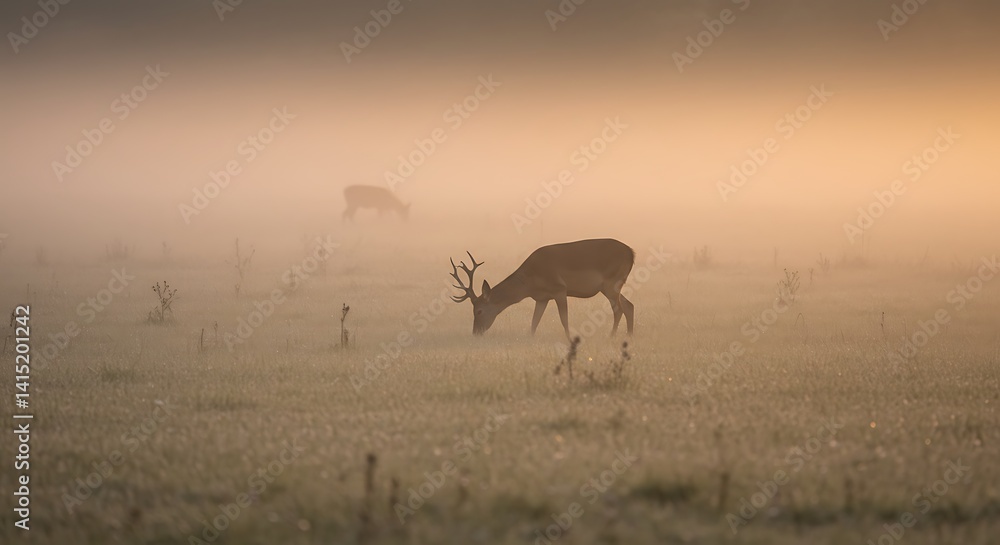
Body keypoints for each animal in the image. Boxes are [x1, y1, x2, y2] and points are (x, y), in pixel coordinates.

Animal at [449, 238, 635, 338]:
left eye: (479, 310)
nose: (475, 332)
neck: (529, 282)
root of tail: (631, 253)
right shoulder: (542, 298)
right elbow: (534, 322)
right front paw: (530, 339)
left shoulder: (559, 289)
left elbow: (564, 319)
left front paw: (569, 339)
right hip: (612, 286)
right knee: (629, 305)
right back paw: (629, 336)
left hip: (611, 283)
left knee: (619, 309)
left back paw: (612, 336)